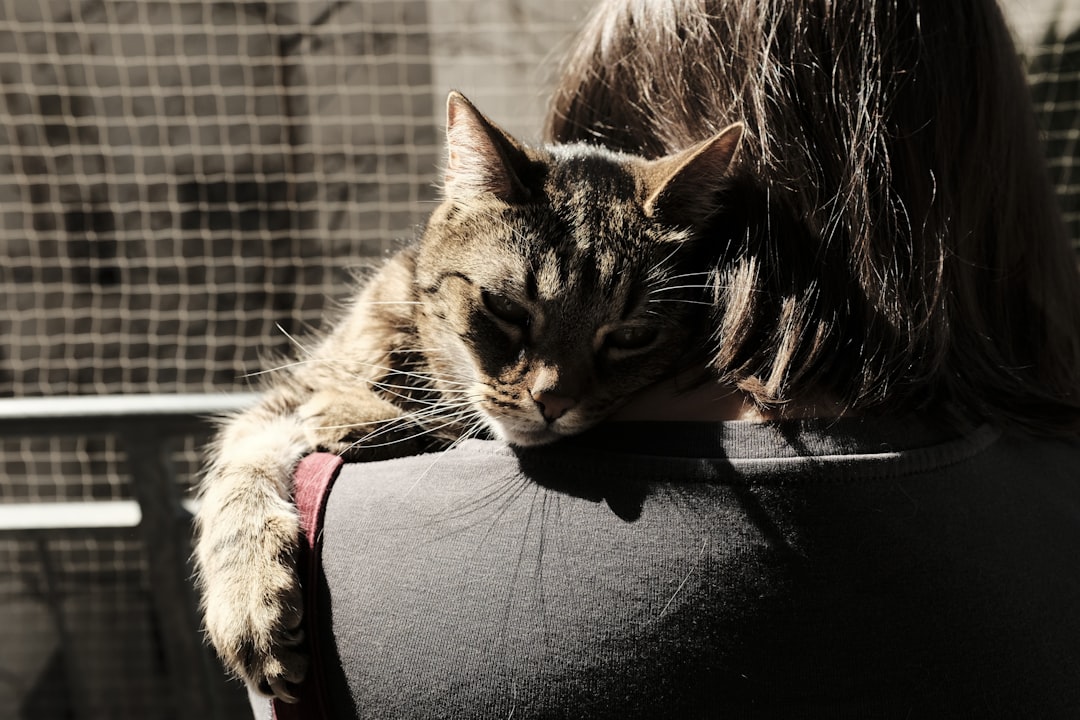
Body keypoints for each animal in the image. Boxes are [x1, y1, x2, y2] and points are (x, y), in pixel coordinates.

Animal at [194, 91, 738, 703]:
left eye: (632, 336)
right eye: (505, 308)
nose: (553, 401)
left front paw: (359, 417)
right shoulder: (285, 396)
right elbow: (237, 479)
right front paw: (250, 602)